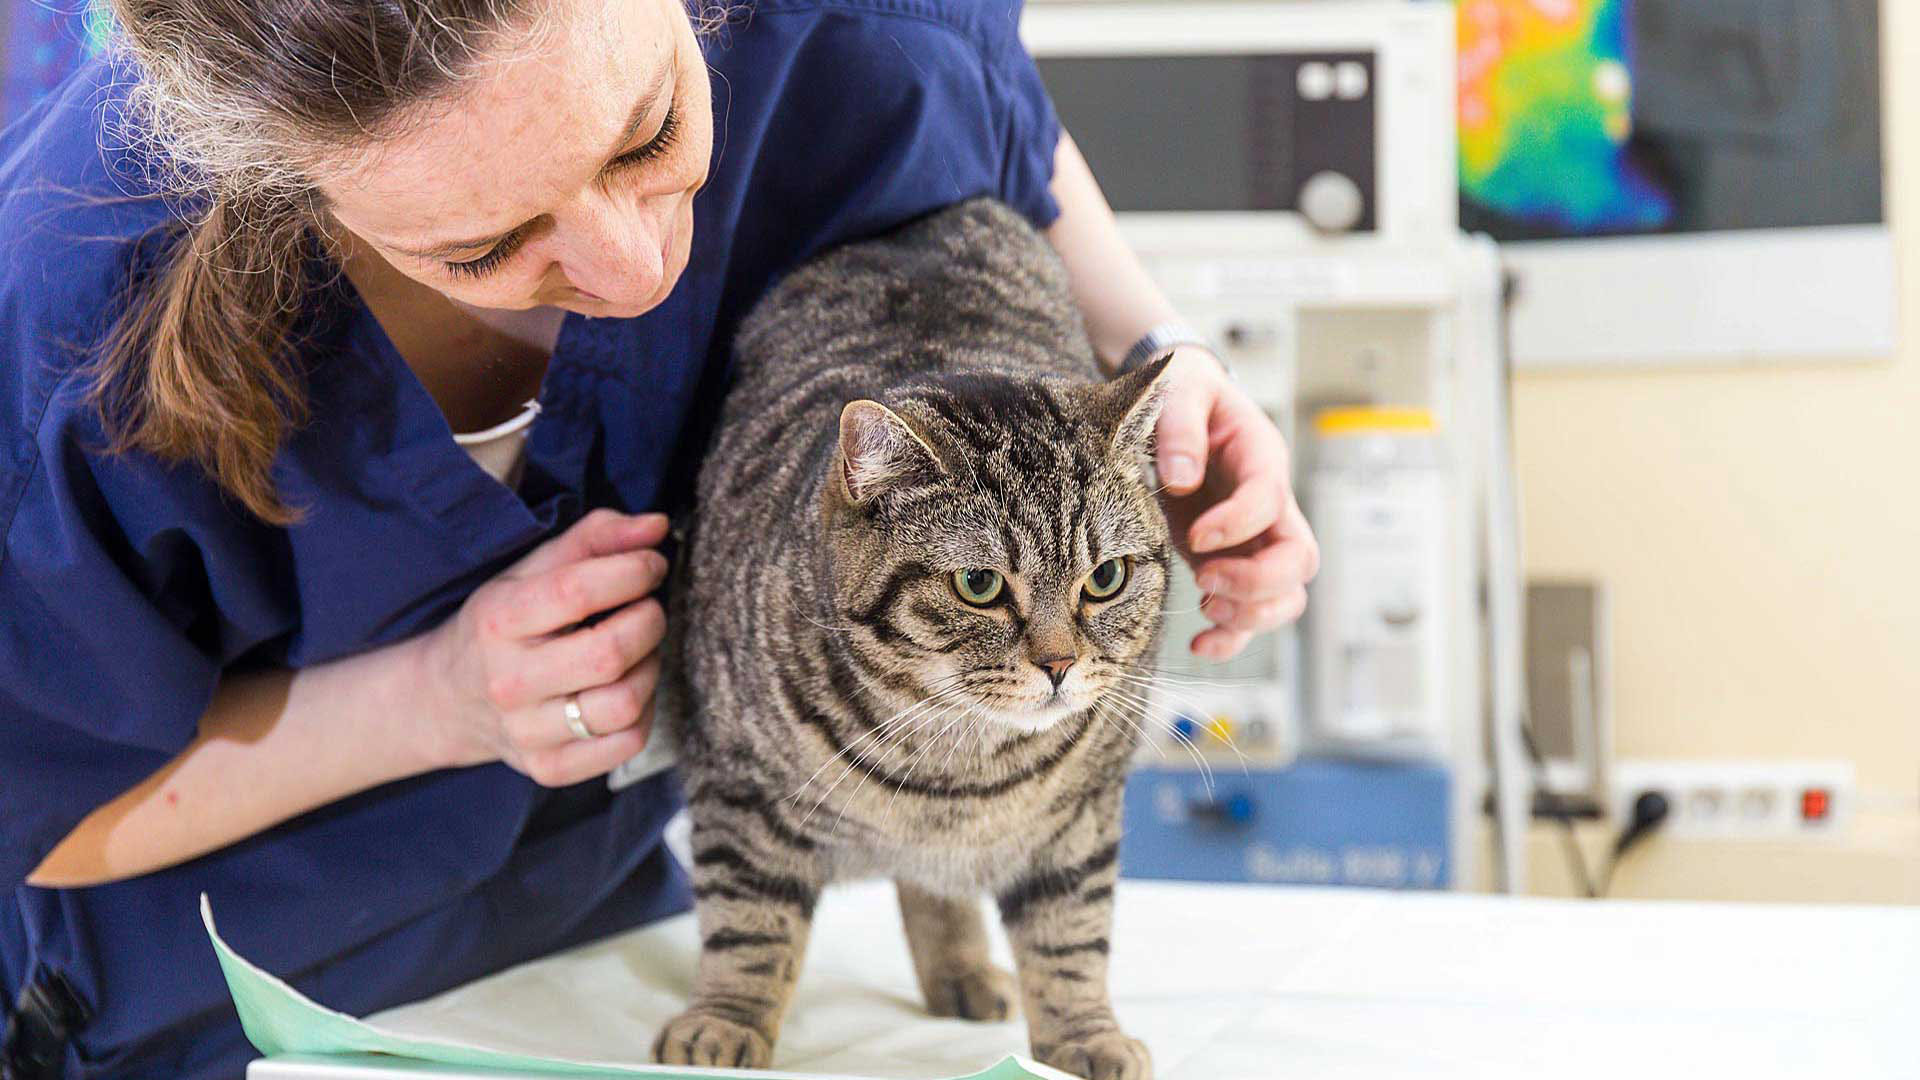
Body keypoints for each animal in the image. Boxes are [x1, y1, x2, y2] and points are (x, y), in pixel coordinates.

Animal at [660, 197, 1167, 1068]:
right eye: (979, 585)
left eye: (1105, 579)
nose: (1061, 664)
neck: (955, 770)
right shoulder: (736, 788)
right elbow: (748, 925)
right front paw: (725, 1020)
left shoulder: (1082, 818)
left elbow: (1070, 936)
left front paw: (1086, 1036)